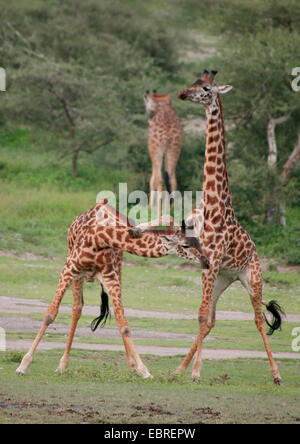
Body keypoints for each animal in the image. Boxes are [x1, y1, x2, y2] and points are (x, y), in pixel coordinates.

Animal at [15, 200, 209, 378]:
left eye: (198, 241)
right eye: (185, 245)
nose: (206, 261)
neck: (99, 238)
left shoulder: (111, 277)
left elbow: (124, 325)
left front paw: (143, 370)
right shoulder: (68, 270)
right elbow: (50, 314)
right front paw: (23, 365)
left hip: (118, 268)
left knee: (114, 313)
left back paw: (131, 366)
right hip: (77, 274)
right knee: (76, 309)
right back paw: (62, 364)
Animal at [177, 69, 284, 386]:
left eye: (206, 88)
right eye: (194, 82)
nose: (182, 94)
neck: (213, 204)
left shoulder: (211, 262)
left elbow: (203, 316)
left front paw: (197, 373)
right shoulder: (207, 265)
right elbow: (202, 316)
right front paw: (188, 371)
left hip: (253, 279)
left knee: (259, 319)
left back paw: (276, 375)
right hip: (224, 278)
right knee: (212, 318)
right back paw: (179, 369)